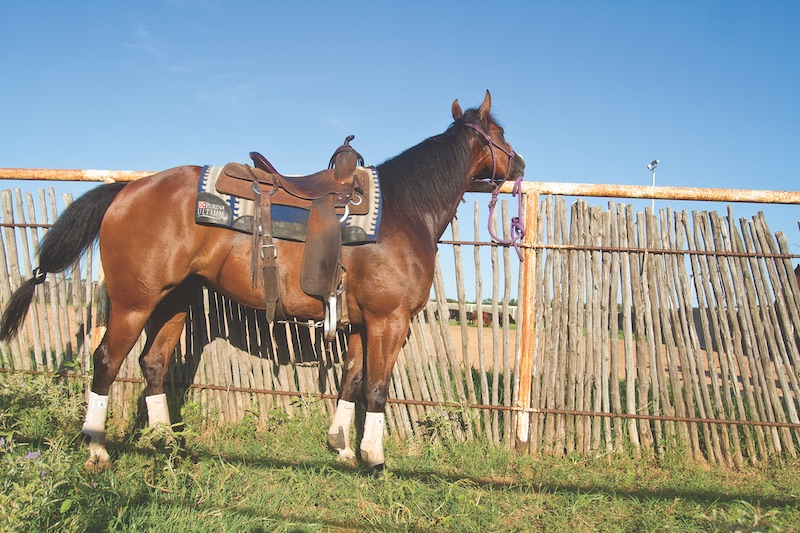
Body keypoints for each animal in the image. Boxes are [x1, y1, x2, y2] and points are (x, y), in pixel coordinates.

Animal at [0, 91, 524, 474]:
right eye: (500, 133)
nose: (519, 164)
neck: (404, 209)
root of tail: (127, 189)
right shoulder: (388, 320)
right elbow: (376, 388)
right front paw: (374, 459)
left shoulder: (359, 323)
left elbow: (351, 381)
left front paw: (341, 447)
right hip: (134, 303)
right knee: (107, 361)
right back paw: (96, 448)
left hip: (174, 302)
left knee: (152, 364)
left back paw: (166, 444)